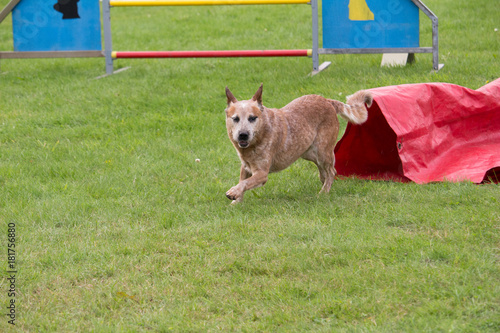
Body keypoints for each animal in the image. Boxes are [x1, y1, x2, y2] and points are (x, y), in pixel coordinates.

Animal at [225, 83, 374, 202]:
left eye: (252, 118)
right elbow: (242, 181)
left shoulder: (262, 173)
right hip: (307, 152)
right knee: (325, 172)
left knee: (332, 171)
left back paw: (323, 193)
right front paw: (236, 202)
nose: (243, 135)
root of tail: (327, 101)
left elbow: (245, 183)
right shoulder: (245, 167)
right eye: (235, 118)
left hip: (322, 151)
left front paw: (233, 192)